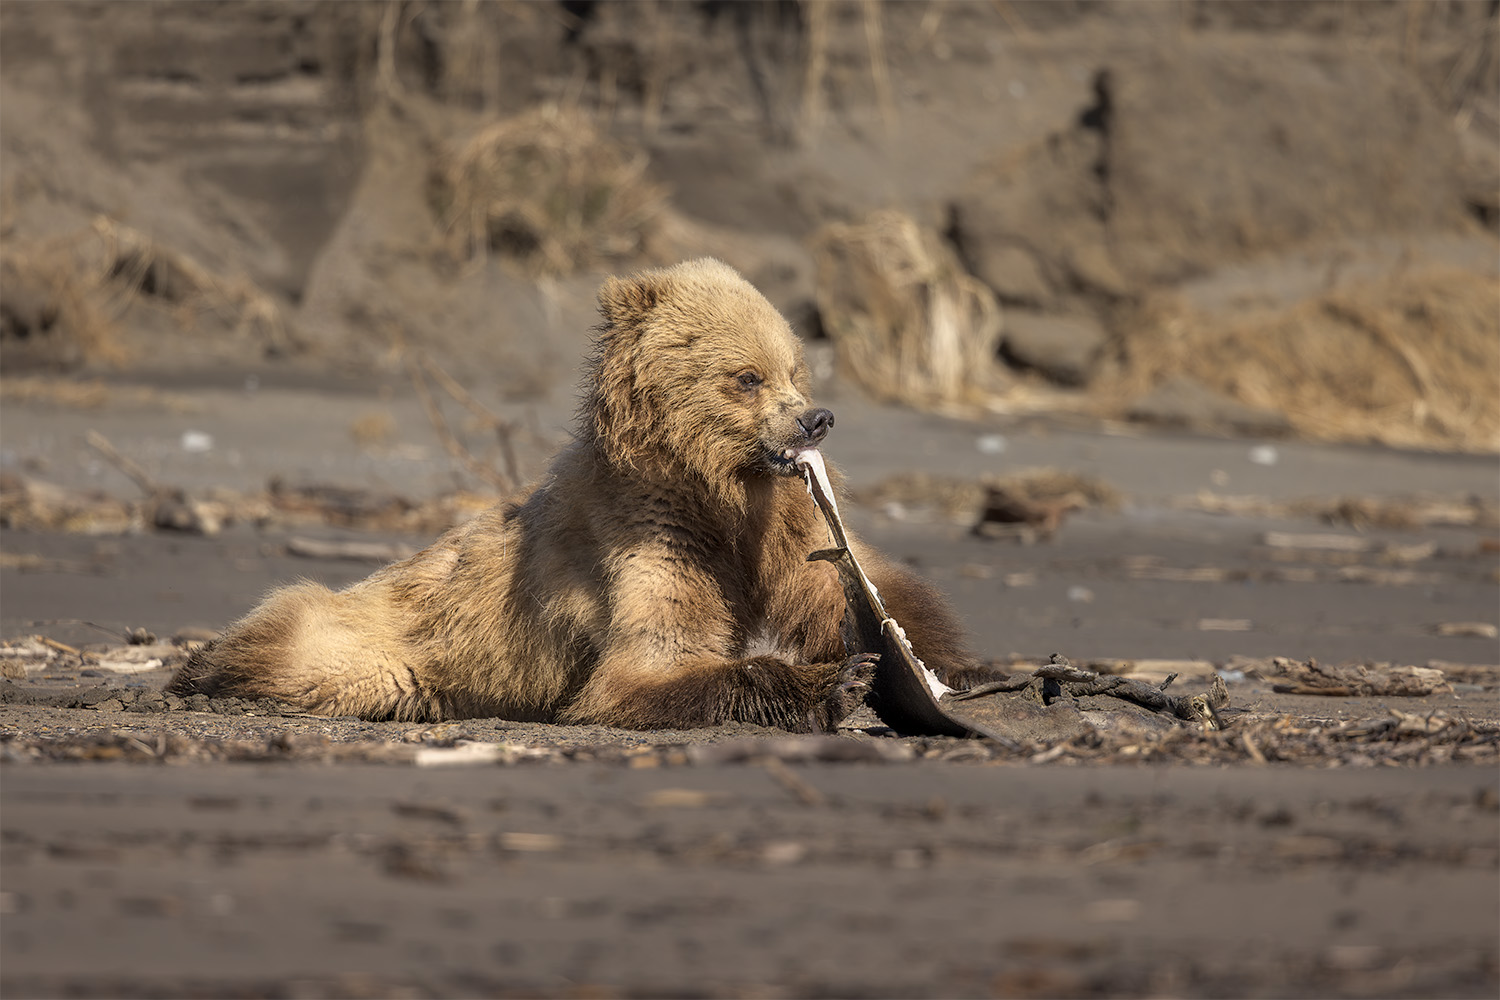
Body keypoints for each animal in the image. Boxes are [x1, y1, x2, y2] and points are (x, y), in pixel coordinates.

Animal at [167, 258, 979, 732]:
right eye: (746, 376)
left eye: (794, 369)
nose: (817, 417)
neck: (716, 491)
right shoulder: (649, 538)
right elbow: (651, 664)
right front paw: (837, 682)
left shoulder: (782, 530)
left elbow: (856, 589)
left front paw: (947, 668)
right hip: (376, 644)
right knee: (302, 634)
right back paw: (201, 670)